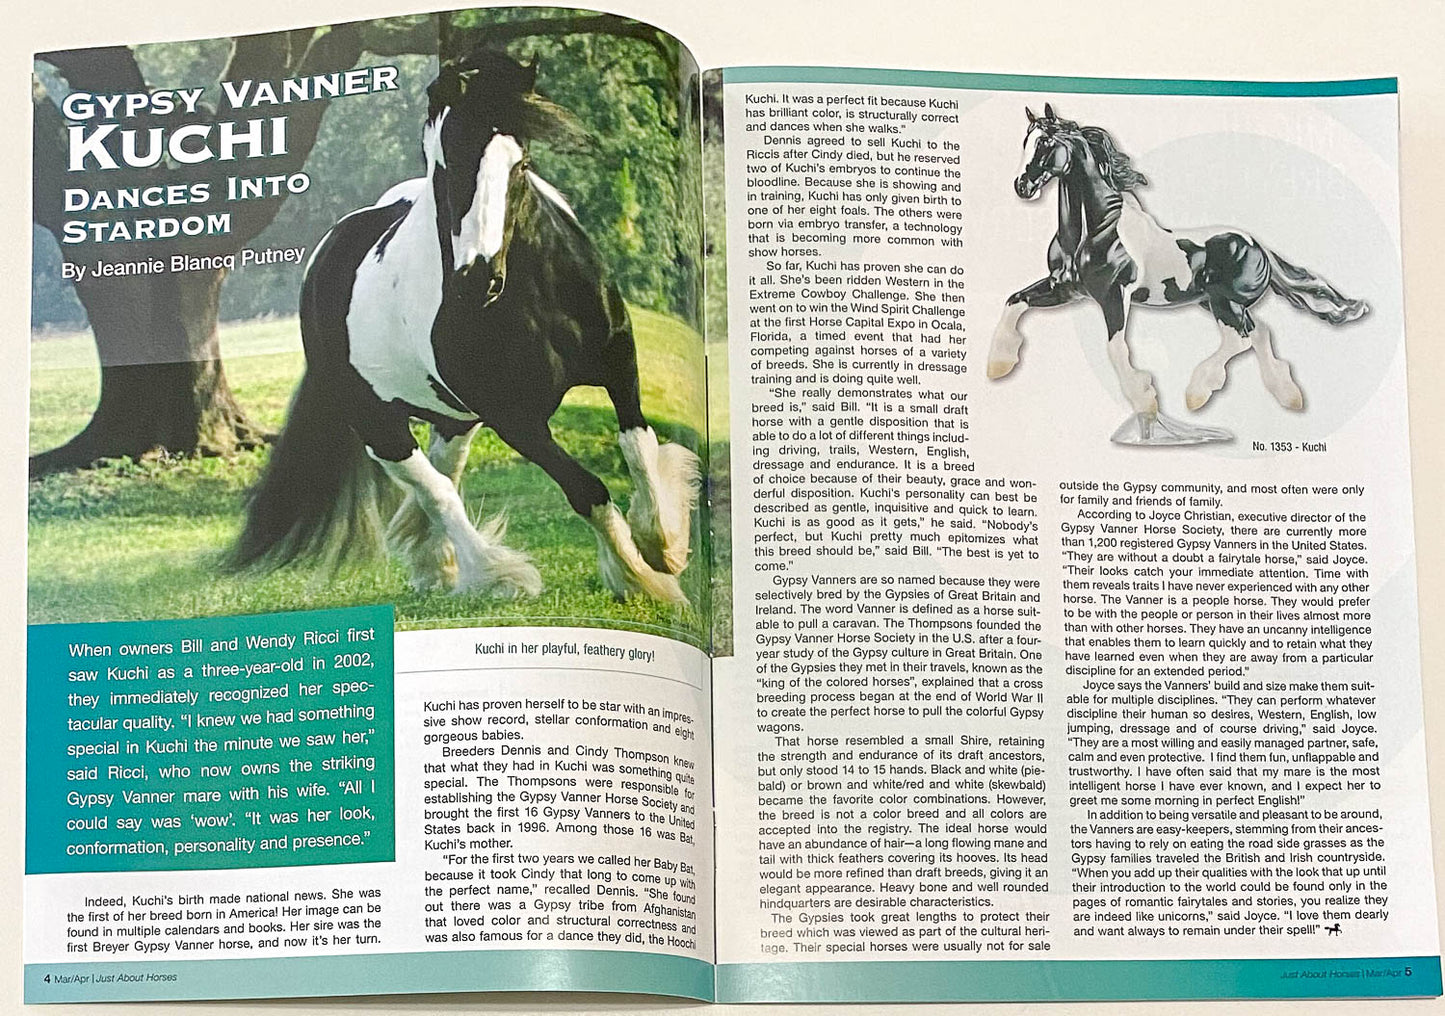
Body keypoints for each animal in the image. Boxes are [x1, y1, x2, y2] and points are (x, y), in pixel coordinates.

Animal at [229, 48, 699, 604]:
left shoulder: (618, 363)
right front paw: (644, 580)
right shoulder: (515, 418)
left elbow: (638, 445)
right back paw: (493, 574)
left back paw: (436, 563)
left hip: (453, 418)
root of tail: (331, 247)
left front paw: (663, 547)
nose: (476, 281)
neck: (538, 300)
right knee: (435, 491)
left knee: (443, 478)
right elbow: (587, 490)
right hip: (380, 424)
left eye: (521, 164)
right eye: (445, 166)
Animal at [986, 104, 1370, 444]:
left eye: (1046, 143)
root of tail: (1256, 244)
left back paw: (1198, 393)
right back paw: (1289, 396)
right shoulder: (1064, 289)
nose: (1022, 186)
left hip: (1224, 303)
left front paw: (1146, 402)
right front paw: (998, 366)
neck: (1092, 233)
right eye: (1026, 141)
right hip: (1213, 303)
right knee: (1259, 333)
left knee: (1241, 339)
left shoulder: (1115, 295)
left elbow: (1115, 349)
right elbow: (1013, 302)